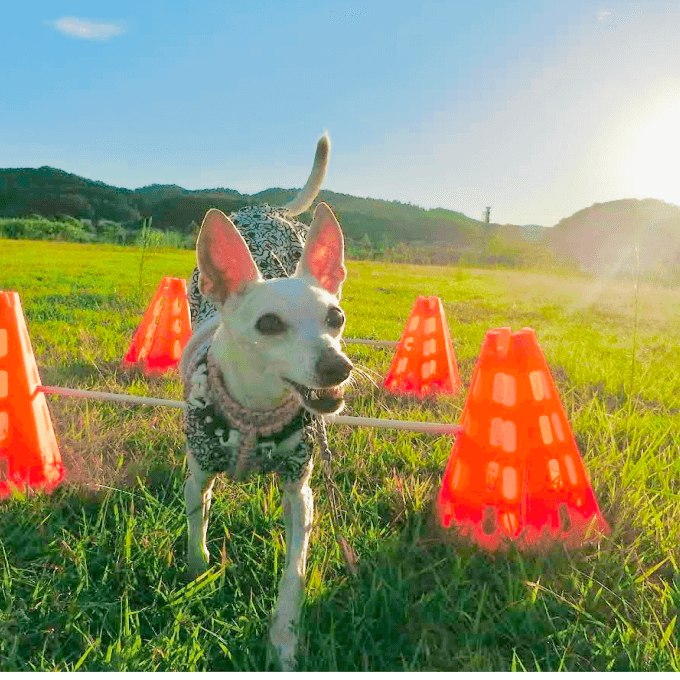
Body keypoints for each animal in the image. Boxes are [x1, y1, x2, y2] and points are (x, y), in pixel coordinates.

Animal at [178, 134, 354, 668]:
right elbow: (196, 528)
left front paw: (284, 641)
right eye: (269, 325)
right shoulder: (198, 478)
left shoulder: (301, 495)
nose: (338, 367)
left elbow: (294, 574)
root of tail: (266, 209)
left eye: (336, 317)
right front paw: (196, 575)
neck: (256, 413)